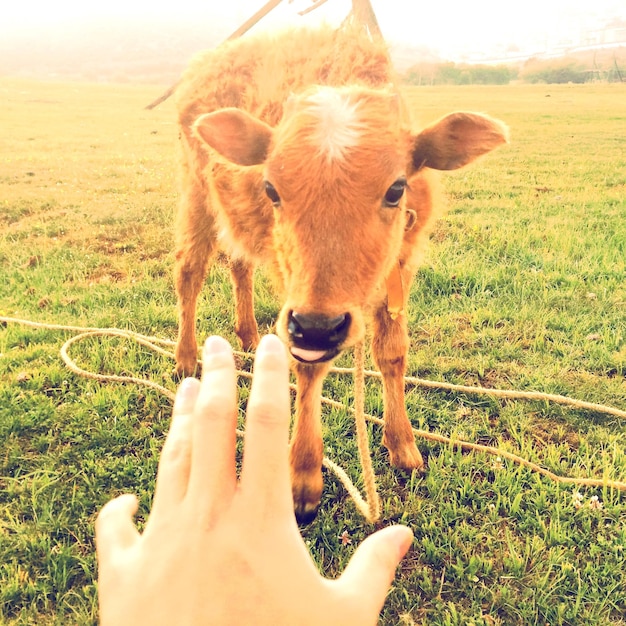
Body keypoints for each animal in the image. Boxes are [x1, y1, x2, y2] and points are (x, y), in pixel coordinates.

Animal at [172, 24, 508, 520]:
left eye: (396, 189)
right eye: (272, 188)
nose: (319, 327)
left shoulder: (401, 269)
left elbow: (392, 354)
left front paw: (403, 446)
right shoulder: (298, 300)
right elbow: (308, 368)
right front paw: (302, 477)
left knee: (239, 263)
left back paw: (248, 334)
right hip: (196, 195)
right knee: (190, 272)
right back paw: (185, 356)